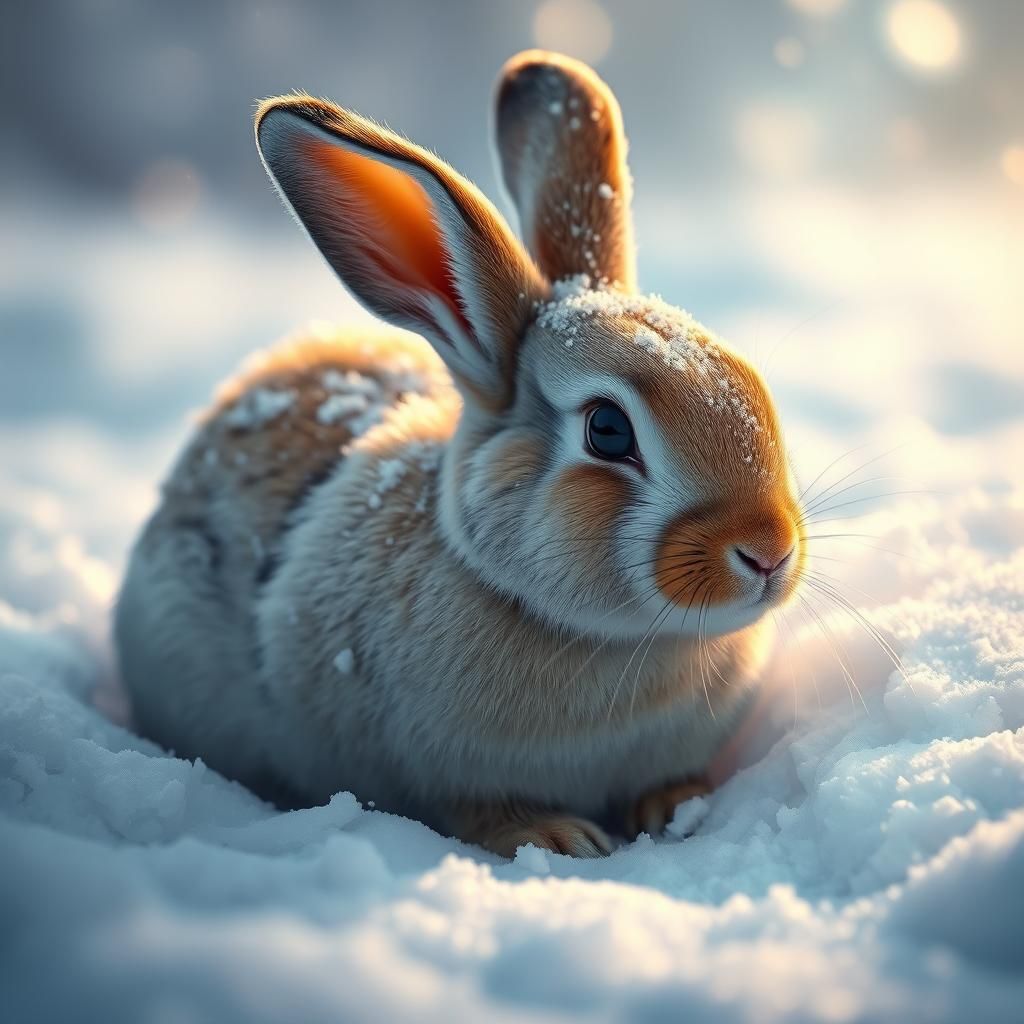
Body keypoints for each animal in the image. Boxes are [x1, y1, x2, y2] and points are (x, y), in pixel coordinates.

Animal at [115, 50, 805, 858]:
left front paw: (676, 806)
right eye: (607, 430)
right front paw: (561, 838)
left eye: (751, 382)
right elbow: (474, 808)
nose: (768, 552)